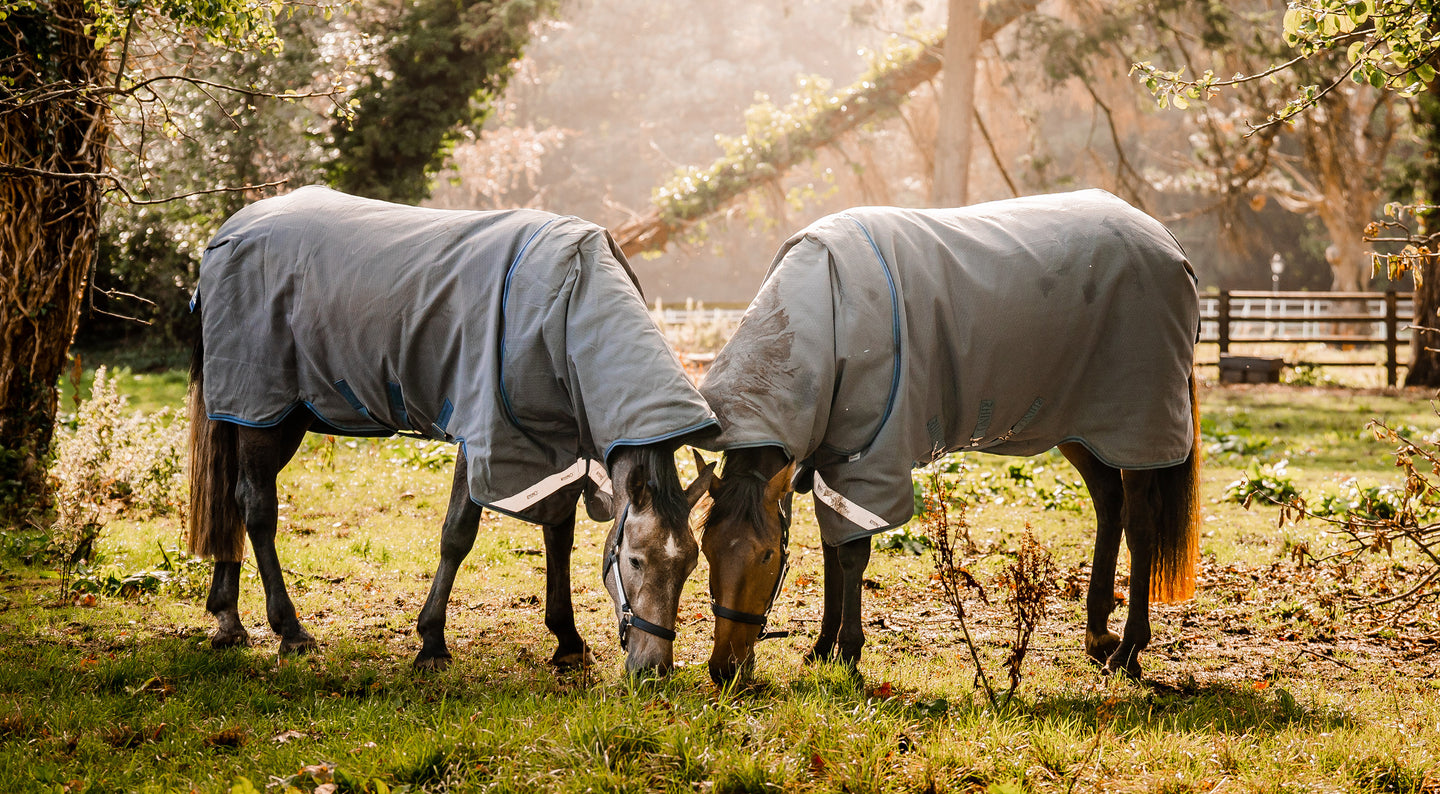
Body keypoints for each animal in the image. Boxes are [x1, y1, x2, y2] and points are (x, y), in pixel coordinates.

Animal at [696, 191, 1203, 683]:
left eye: (766, 556)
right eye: (706, 550)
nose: (725, 668)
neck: (826, 312)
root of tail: (1166, 238)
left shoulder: (868, 461)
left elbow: (852, 554)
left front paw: (849, 653)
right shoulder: (829, 459)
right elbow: (830, 548)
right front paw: (822, 647)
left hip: (1139, 428)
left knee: (1140, 525)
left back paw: (1128, 650)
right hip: (1081, 429)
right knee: (1109, 507)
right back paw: (1097, 636)